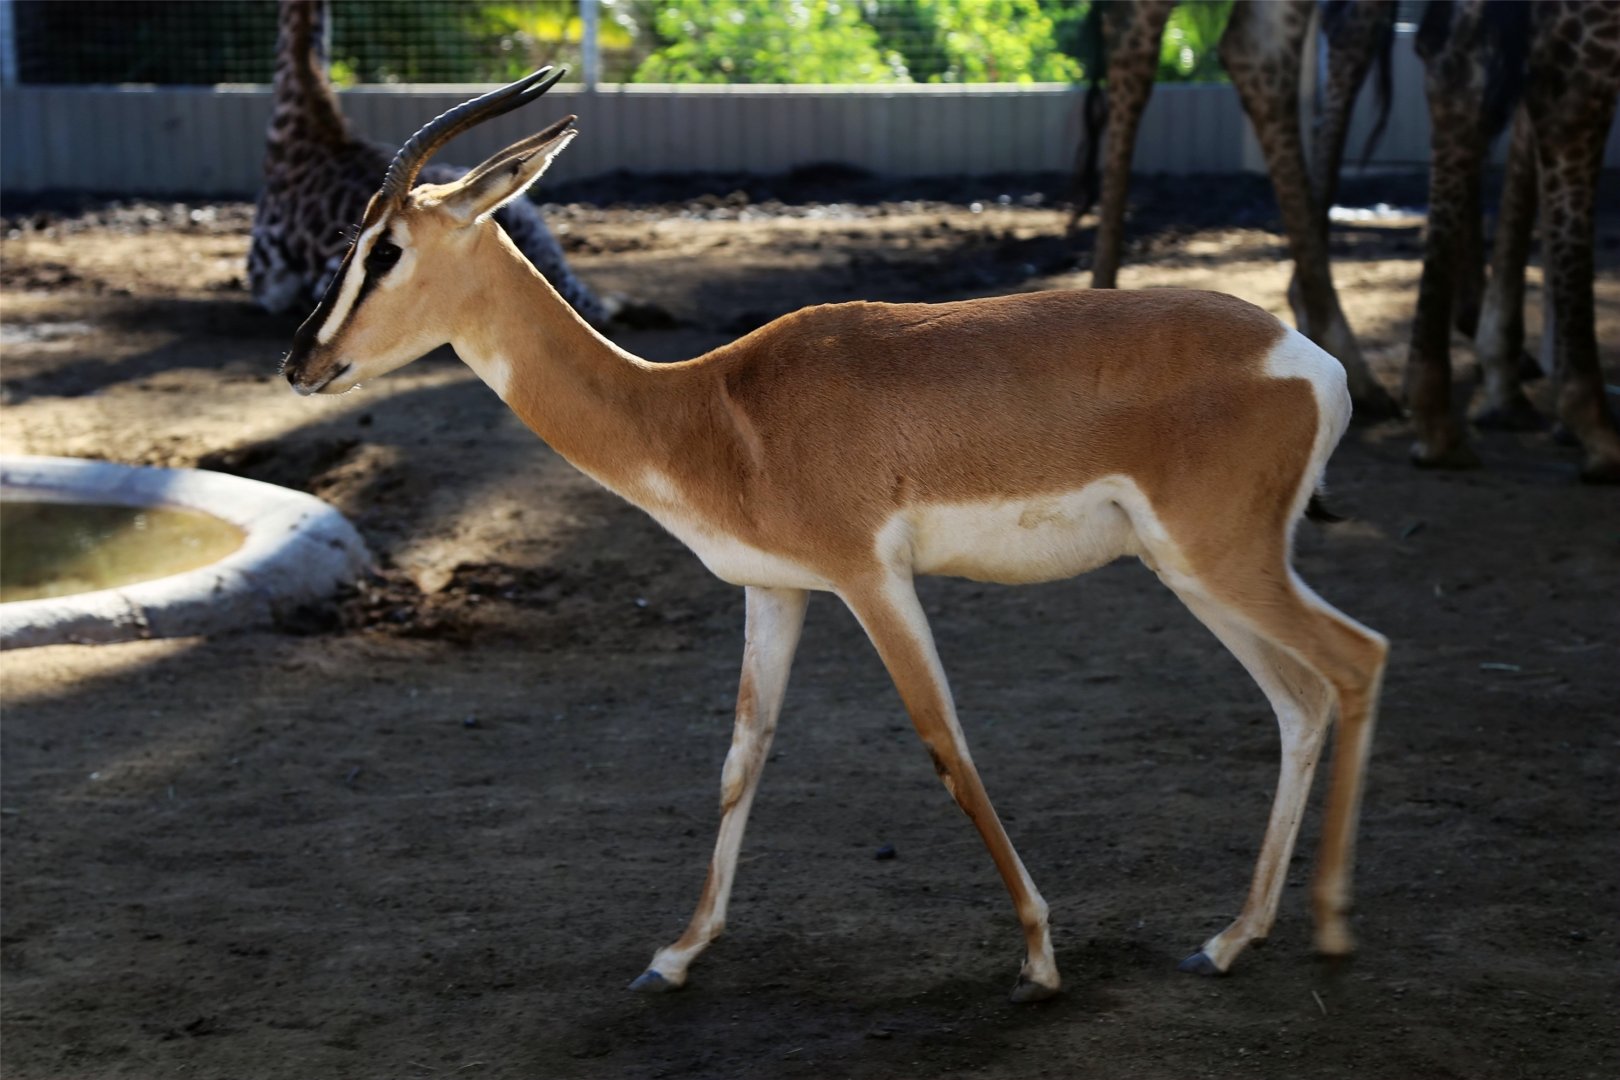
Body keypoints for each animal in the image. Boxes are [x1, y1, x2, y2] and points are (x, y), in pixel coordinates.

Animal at [282, 68, 1389, 1002]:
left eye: (383, 250)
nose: (301, 361)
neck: (705, 412)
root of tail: (1311, 362)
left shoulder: (870, 579)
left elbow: (945, 745)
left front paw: (1037, 958)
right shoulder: (775, 589)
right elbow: (742, 756)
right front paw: (676, 954)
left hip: (1223, 562)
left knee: (1357, 657)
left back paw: (1332, 931)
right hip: (1192, 572)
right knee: (1299, 702)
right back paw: (1231, 939)